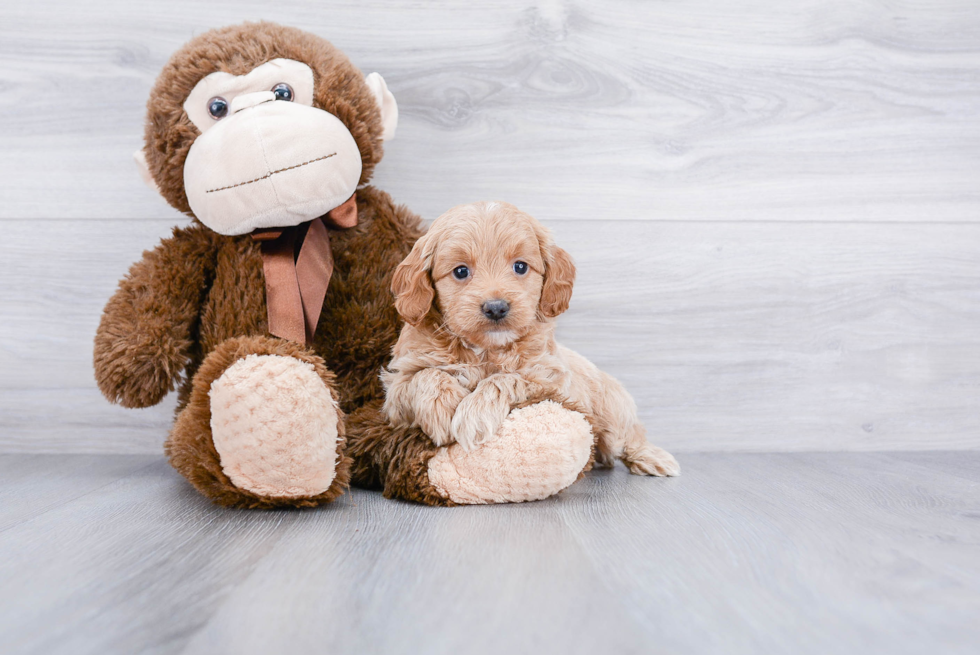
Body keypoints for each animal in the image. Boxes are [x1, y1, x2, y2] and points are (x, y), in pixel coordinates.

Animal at [378, 200, 676, 476]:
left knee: (629, 435)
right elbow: (424, 375)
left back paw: (653, 457)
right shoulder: (396, 394)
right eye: (460, 271)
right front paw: (444, 409)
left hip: (613, 412)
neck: (485, 350)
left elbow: (505, 378)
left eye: (520, 267)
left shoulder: (550, 378)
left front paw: (475, 414)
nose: (496, 307)